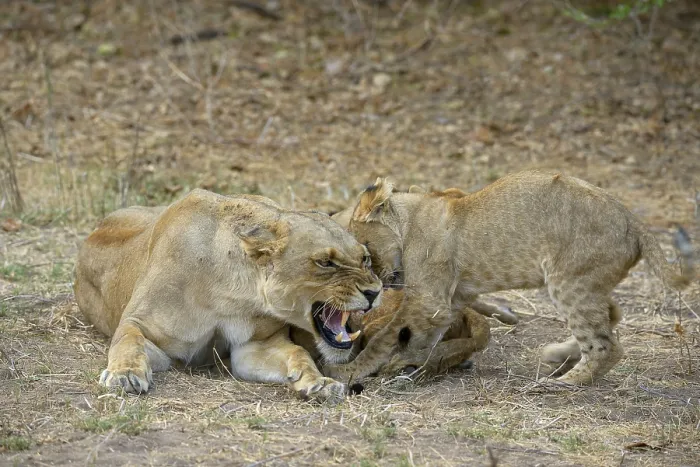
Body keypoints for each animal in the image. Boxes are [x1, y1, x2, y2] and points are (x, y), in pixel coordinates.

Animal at [74, 189, 382, 404]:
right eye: (325, 263)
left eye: (365, 258)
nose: (374, 292)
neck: (231, 295)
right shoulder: (143, 326)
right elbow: (128, 342)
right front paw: (125, 375)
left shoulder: (256, 345)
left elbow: (298, 352)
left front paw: (319, 384)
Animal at [323, 170, 694, 386]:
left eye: (364, 256)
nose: (375, 292)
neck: (409, 219)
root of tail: (633, 221)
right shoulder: (446, 304)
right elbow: (422, 339)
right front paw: (412, 365)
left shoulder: (428, 300)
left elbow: (386, 336)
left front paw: (350, 371)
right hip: (589, 282)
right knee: (613, 315)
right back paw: (558, 357)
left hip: (569, 281)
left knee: (607, 346)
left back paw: (562, 383)